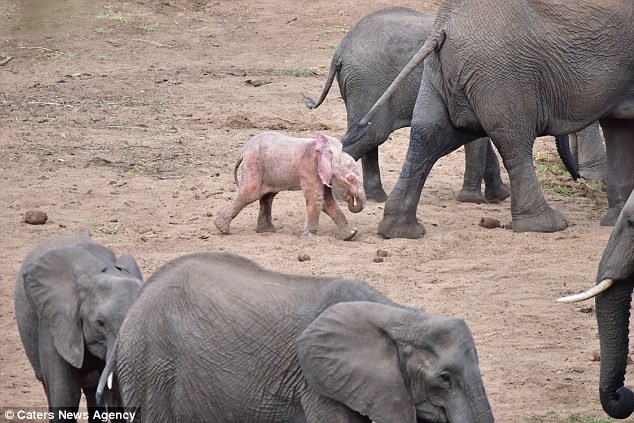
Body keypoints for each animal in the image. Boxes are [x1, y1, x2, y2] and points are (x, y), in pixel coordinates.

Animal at [212, 131, 362, 240]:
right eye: (350, 179)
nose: (351, 198)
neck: (329, 151)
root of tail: (243, 151)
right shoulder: (310, 167)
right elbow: (316, 198)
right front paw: (309, 239)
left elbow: (327, 201)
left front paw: (351, 235)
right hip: (254, 164)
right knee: (250, 193)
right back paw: (222, 228)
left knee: (267, 196)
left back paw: (267, 230)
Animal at [344, 0, 628, 238]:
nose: (577, 177)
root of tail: (340, 52)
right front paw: (482, 198)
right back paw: (547, 225)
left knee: (418, 135)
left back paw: (390, 220)